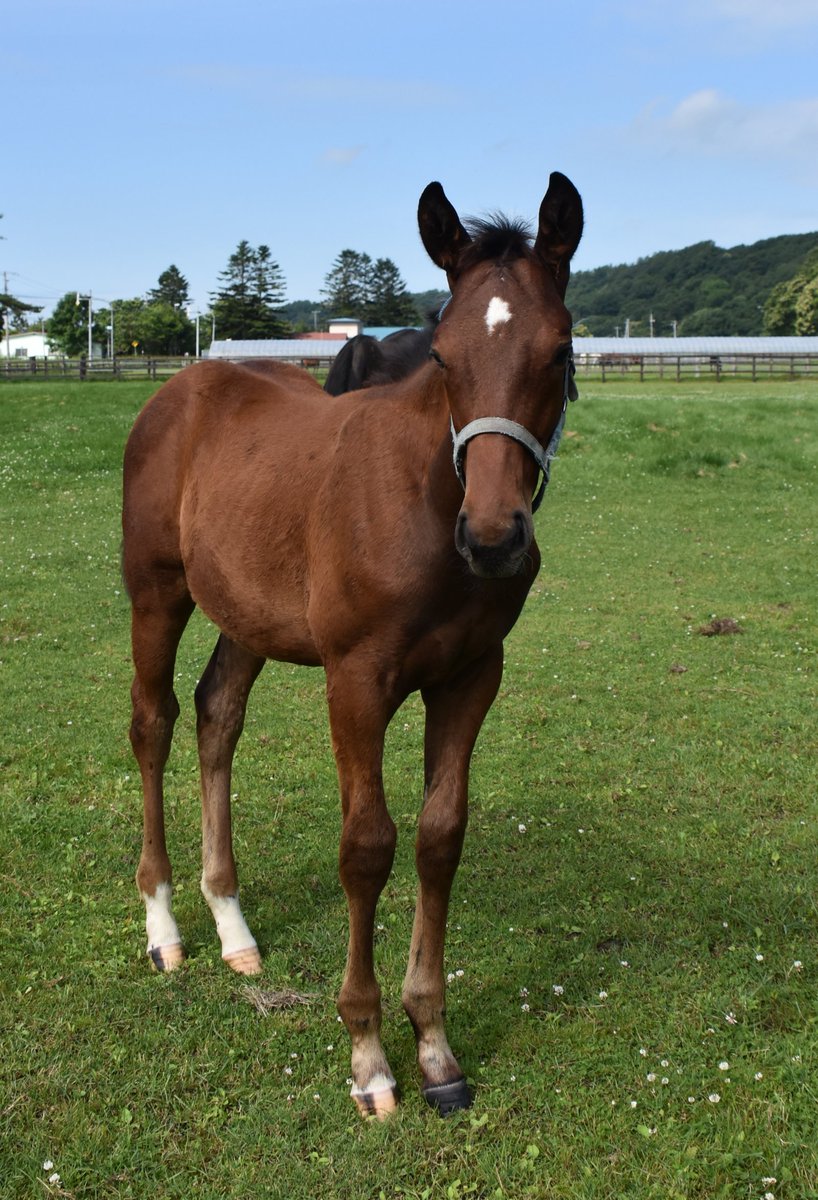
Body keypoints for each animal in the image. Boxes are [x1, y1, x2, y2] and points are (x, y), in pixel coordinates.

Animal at [122, 171, 583, 1119]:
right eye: (440, 355)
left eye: (560, 352)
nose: (492, 539)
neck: (425, 502)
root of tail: (182, 386)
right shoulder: (357, 678)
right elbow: (366, 847)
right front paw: (370, 1055)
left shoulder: (473, 675)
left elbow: (441, 835)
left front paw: (436, 1050)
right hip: (157, 593)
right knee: (152, 724)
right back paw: (165, 927)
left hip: (247, 613)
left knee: (216, 715)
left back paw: (233, 926)